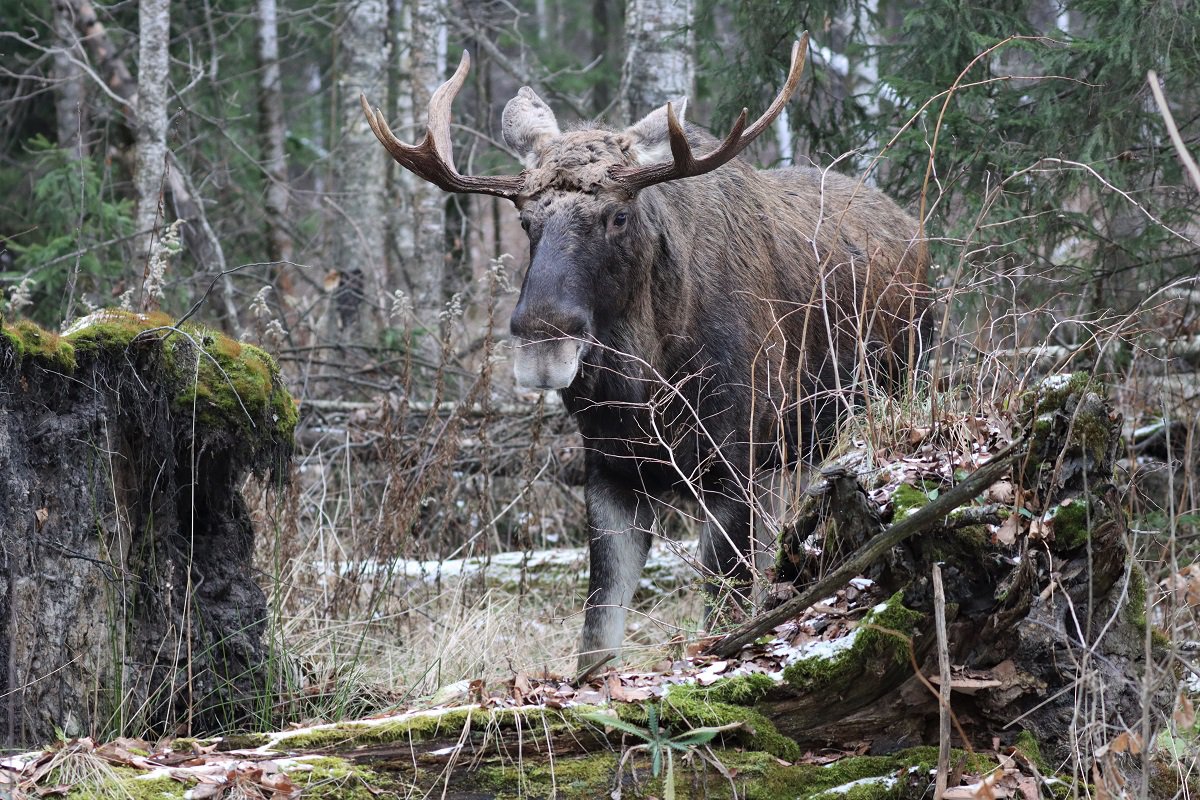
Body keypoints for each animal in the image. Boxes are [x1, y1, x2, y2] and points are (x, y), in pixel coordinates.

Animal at [360, 35, 931, 676]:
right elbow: (596, 633)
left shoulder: (732, 465)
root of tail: (914, 230)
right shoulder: (610, 472)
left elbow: (723, 615)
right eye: (526, 220)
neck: (645, 387)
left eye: (619, 214)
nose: (541, 337)